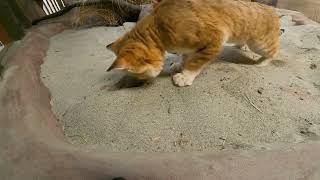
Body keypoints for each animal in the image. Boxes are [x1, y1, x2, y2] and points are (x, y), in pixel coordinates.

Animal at [106, 0, 278, 86]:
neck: (158, 28)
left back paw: (263, 62)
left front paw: (185, 76)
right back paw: (240, 46)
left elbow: (196, 62)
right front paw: (179, 64)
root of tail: (272, 10)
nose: (139, 83)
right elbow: (185, 56)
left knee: (274, 51)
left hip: (259, 44)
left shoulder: (215, 39)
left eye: (138, 75)